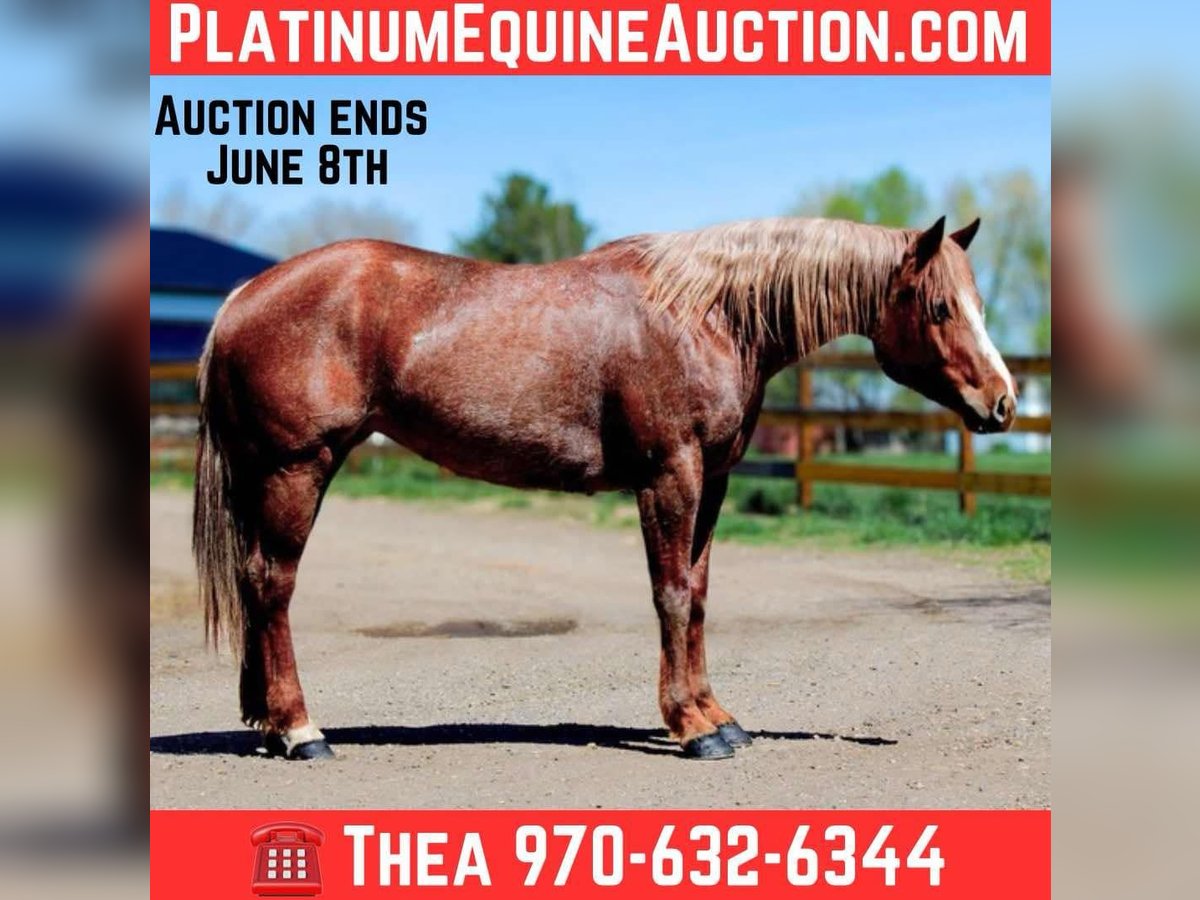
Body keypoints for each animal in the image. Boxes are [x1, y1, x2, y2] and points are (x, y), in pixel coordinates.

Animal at [193, 214, 1015, 761]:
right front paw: (691, 727)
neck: (706, 314)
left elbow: (699, 596)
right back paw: (301, 730)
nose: (1002, 403)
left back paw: (269, 722)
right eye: (941, 306)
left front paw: (718, 715)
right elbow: (671, 596)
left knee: (258, 587)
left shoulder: (713, 479)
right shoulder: (669, 474)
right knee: (272, 586)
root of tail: (240, 296)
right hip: (298, 468)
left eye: (979, 304)